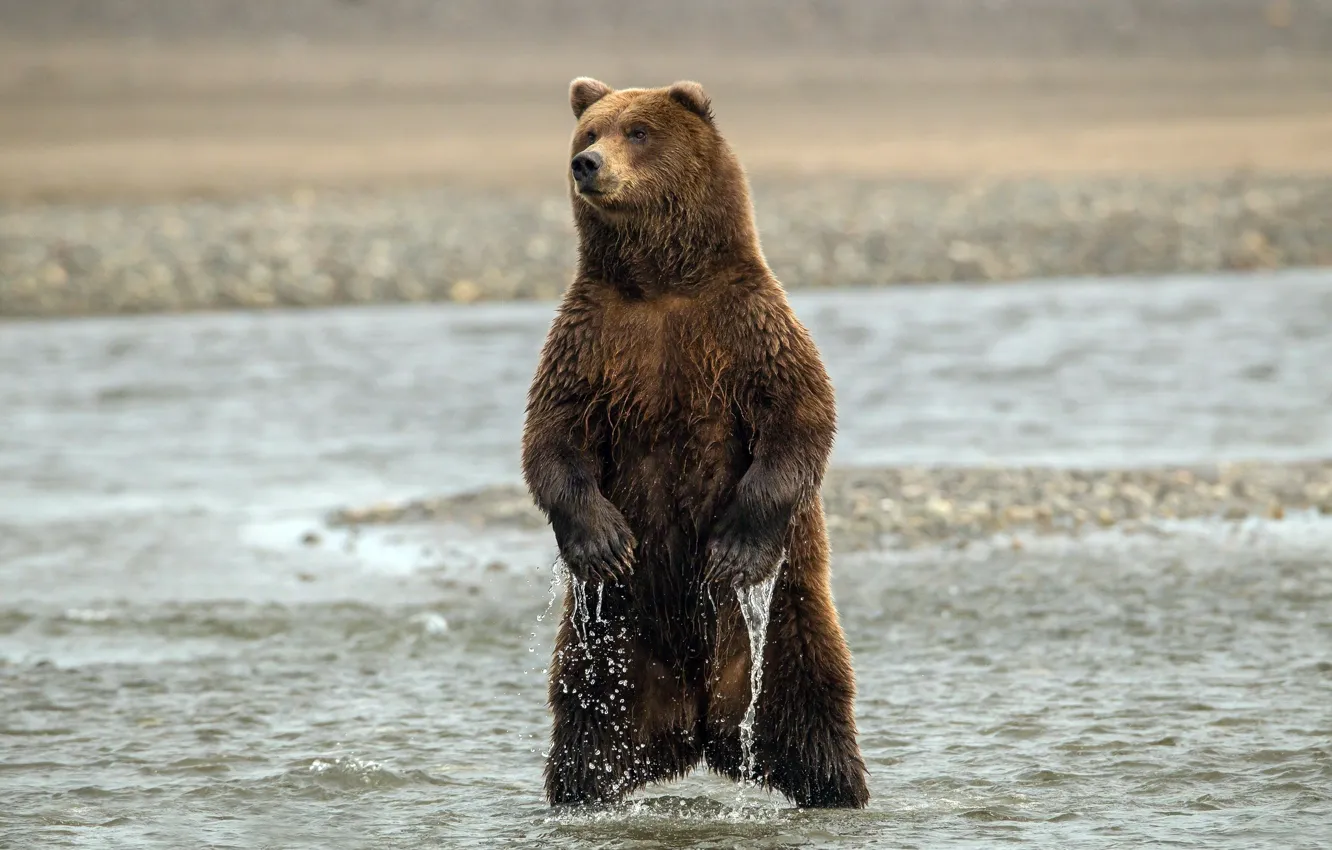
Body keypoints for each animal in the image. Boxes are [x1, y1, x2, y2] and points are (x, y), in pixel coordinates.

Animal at [520, 76, 869, 809]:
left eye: (638, 131)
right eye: (589, 131)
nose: (586, 164)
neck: (661, 284)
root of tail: (700, 725)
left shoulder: (747, 328)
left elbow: (800, 417)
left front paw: (734, 549)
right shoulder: (591, 341)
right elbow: (553, 437)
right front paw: (603, 542)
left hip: (787, 619)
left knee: (813, 708)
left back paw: (838, 790)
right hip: (610, 645)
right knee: (586, 726)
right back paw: (581, 794)